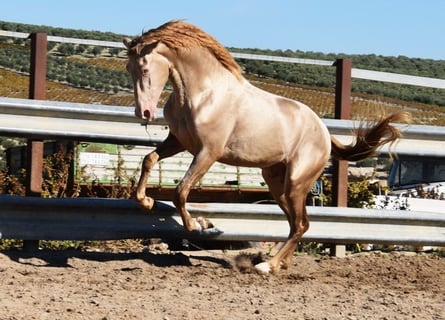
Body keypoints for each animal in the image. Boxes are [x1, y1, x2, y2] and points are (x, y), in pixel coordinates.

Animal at [123, 20, 408, 276]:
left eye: (145, 69)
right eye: (128, 68)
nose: (144, 113)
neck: (204, 93)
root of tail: (325, 133)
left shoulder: (208, 152)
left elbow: (180, 191)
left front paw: (196, 225)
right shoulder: (178, 141)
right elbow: (149, 159)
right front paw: (146, 201)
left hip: (296, 183)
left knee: (301, 224)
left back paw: (267, 266)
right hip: (276, 183)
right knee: (296, 224)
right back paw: (278, 263)